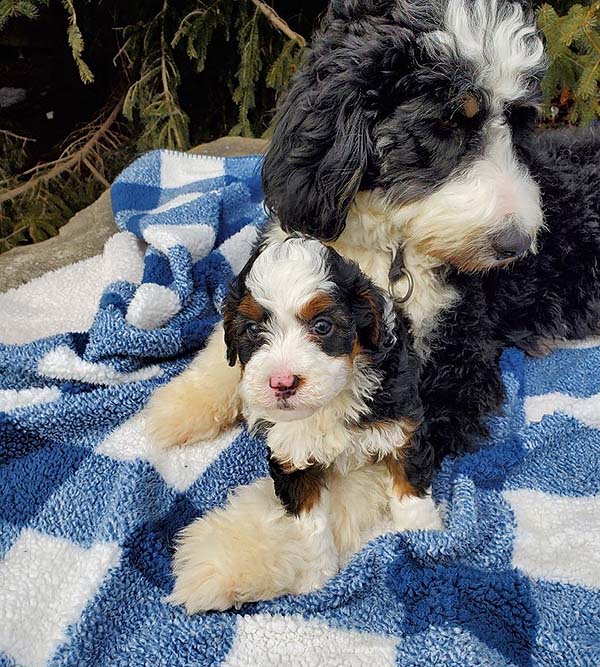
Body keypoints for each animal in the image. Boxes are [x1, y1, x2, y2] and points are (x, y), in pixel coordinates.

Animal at [146, 1, 600, 496]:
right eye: (446, 123)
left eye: (519, 123)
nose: (518, 244)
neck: (391, 248)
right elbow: (228, 339)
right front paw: (175, 409)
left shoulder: (453, 367)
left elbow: (370, 467)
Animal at [169, 237, 440, 612]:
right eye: (253, 329)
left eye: (322, 326)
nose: (282, 382)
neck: (329, 404)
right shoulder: (291, 458)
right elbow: (308, 522)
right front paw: (317, 576)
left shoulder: (402, 425)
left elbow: (408, 487)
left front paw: (424, 536)